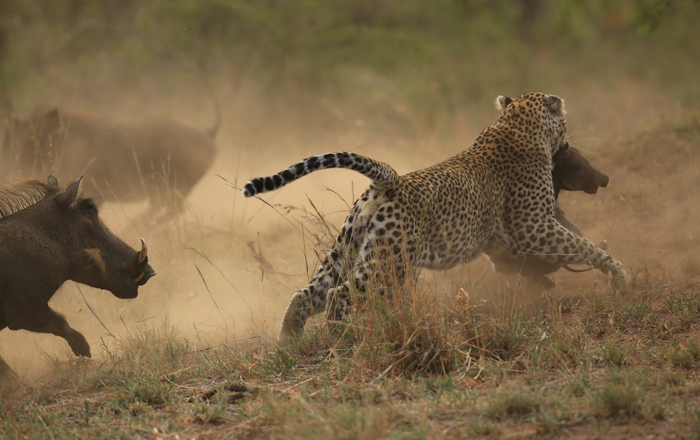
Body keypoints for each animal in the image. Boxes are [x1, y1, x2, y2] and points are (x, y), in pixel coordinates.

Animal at [242, 92, 628, 340]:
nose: (569, 144)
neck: (515, 124)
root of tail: (391, 180)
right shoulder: (534, 226)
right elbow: (584, 245)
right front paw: (619, 275)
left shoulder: (505, 240)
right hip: (388, 261)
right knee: (341, 296)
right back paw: (342, 339)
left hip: (345, 250)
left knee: (306, 294)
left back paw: (289, 345)